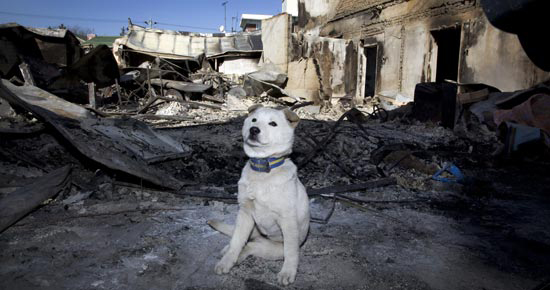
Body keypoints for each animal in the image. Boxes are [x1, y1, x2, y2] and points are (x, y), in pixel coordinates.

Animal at [209, 105, 310, 286]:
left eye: (273, 123)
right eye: (254, 120)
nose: (254, 129)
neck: (263, 171)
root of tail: (260, 237)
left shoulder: (288, 221)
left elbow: (291, 252)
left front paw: (288, 272)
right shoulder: (245, 214)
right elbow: (236, 241)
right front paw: (227, 261)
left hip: (273, 249)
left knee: (251, 246)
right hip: (252, 230)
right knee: (242, 241)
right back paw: (228, 252)